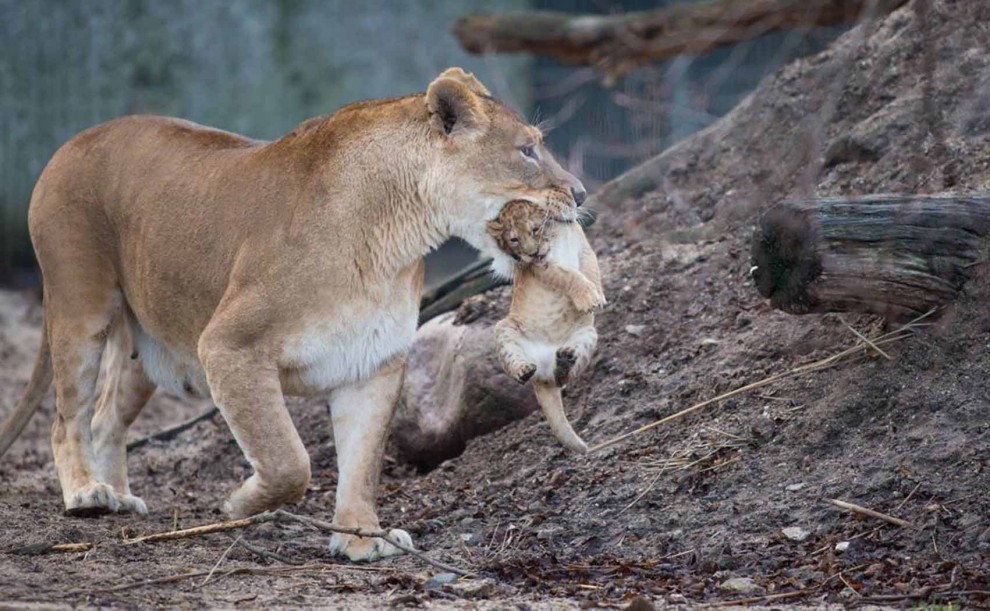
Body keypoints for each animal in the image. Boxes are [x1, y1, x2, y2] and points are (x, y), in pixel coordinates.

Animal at [0, 67, 587, 562]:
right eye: (528, 150)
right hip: (81, 307)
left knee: (105, 418)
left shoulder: (373, 363)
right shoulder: (229, 345)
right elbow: (289, 460)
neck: (397, 236)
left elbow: (361, 464)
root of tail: (73, 139)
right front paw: (239, 506)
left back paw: (120, 496)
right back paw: (87, 493)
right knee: (66, 418)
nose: (580, 193)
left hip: (147, 352)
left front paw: (362, 539)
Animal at [487, 200, 605, 454]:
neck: (557, 234)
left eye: (534, 229)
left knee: (562, 378)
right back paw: (524, 370)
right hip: (504, 328)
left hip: (588, 335)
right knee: (516, 364)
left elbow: (591, 268)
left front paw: (597, 295)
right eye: (514, 239)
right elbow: (569, 275)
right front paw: (588, 297)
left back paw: (565, 361)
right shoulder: (543, 267)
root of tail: (541, 378)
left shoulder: (584, 248)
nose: (532, 253)